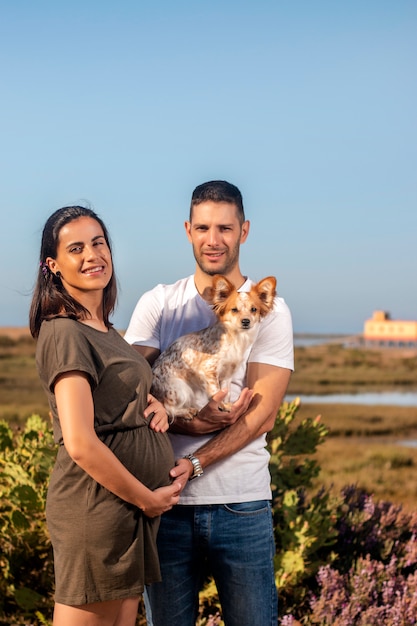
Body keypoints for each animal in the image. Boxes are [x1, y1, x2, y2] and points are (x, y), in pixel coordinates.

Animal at [150, 272, 276, 420]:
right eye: (234, 310)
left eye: (254, 309)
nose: (246, 321)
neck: (235, 337)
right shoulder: (208, 370)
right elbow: (216, 392)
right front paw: (220, 405)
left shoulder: (227, 374)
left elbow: (225, 392)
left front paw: (226, 404)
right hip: (181, 389)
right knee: (167, 409)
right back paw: (186, 411)